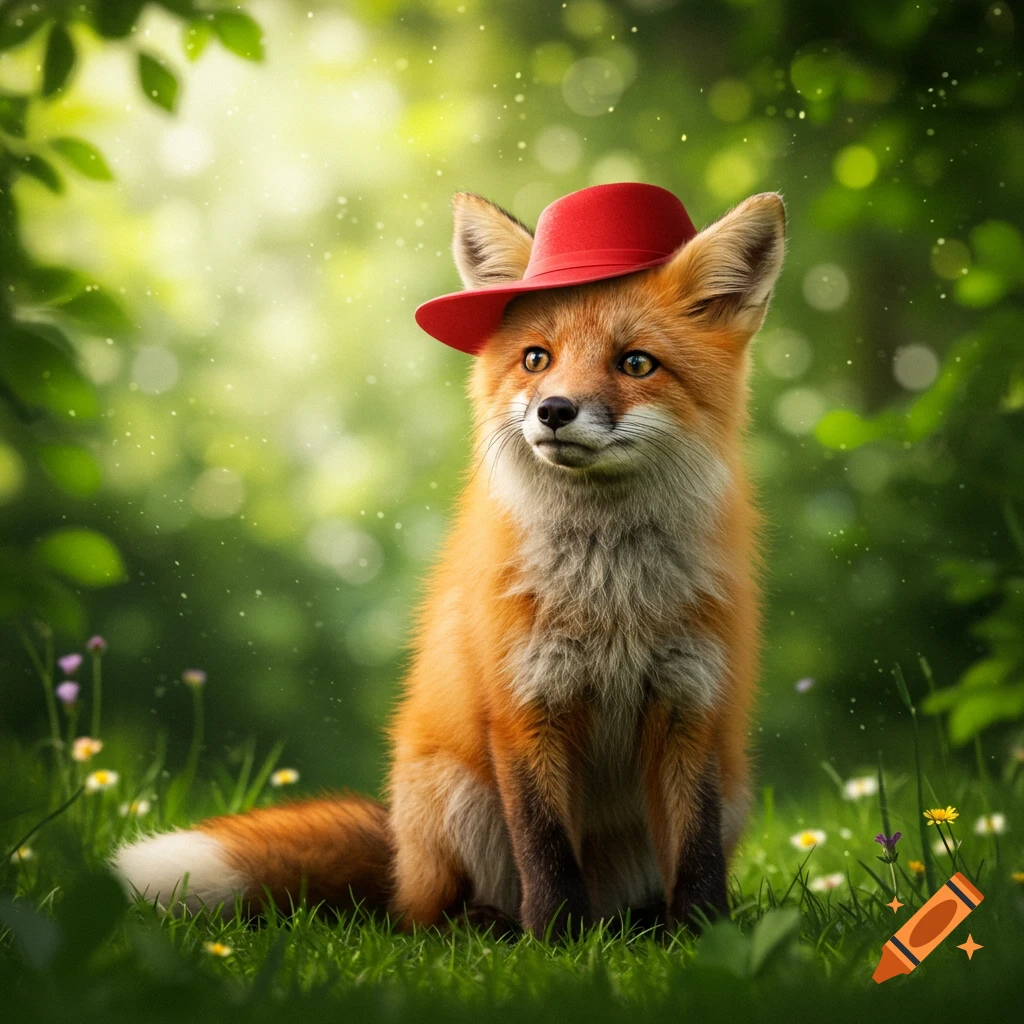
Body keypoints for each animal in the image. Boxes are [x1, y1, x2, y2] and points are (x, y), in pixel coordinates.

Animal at [114, 186, 786, 937]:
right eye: (536, 359)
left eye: (636, 363)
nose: (555, 410)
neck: (610, 596)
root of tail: (399, 852)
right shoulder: (525, 704)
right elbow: (545, 847)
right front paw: (557, 941)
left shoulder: (690, 703)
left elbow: (695, 855)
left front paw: (704, 937)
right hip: (454, 794)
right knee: (423, 917)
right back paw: (498, 927)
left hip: (732, 788)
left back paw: (635, 927)